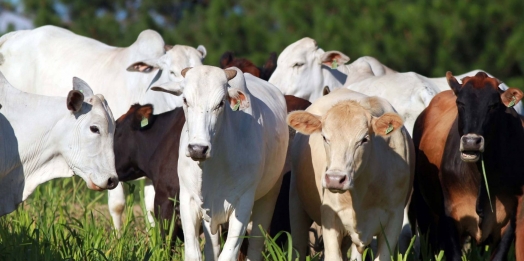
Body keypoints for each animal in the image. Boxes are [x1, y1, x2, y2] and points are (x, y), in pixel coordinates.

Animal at [151, 65, 288, 260]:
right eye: (185, 100)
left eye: (221, 103)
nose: (198, 149)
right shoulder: (188, 200)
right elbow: (194, 253)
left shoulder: (243, 203)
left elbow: (228, 254)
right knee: (212, 247)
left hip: (269, 195)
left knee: (255, 245)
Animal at [286, 88, 414, 258]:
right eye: (324, 137)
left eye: (364, 139)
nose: (335, 179)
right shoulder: (330, 216)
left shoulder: (395, 219)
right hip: (296, 203)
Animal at [410, 71, 524, 260]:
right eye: (460, 103)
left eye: (493, 105)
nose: (471, 142)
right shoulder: (451, 216)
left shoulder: (509, 219)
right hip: (424, 209)